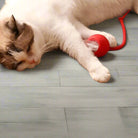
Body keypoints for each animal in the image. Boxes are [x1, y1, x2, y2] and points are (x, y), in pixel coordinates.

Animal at [0, 0, 137, 82]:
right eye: (19, 64)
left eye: (28, 47)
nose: (33, 61)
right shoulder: (70, 22)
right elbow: (85, 31)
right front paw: (107, 39)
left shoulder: (65, 31)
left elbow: (83, 54)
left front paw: (99, 72)